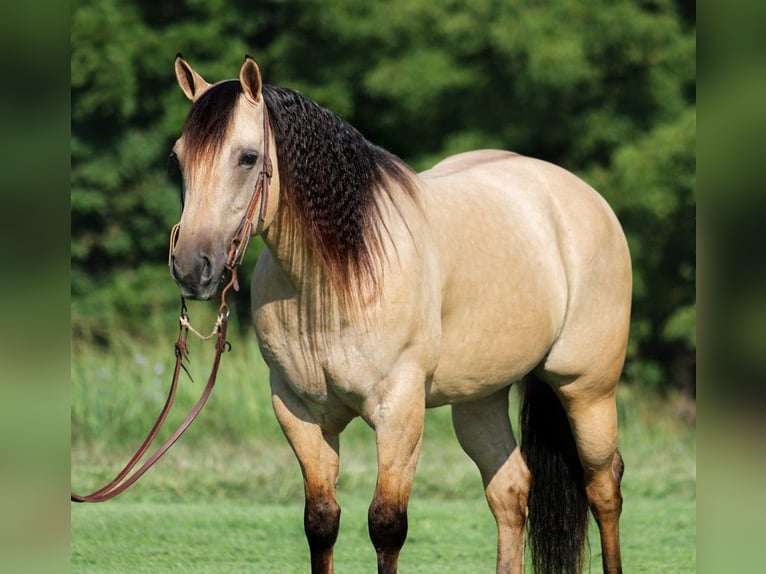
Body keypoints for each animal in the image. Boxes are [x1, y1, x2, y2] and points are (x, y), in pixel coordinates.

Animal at [169, 55, 631, 574]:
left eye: (247, 157)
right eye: (179, 158)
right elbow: (321, 521)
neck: (334, 279)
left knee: (603, 487)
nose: (191, 267)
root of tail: (582, 198)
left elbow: (386, 525)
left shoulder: (399, 411)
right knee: (511, 490)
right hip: (480, 398)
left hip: (587, 390)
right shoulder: (298, 411)